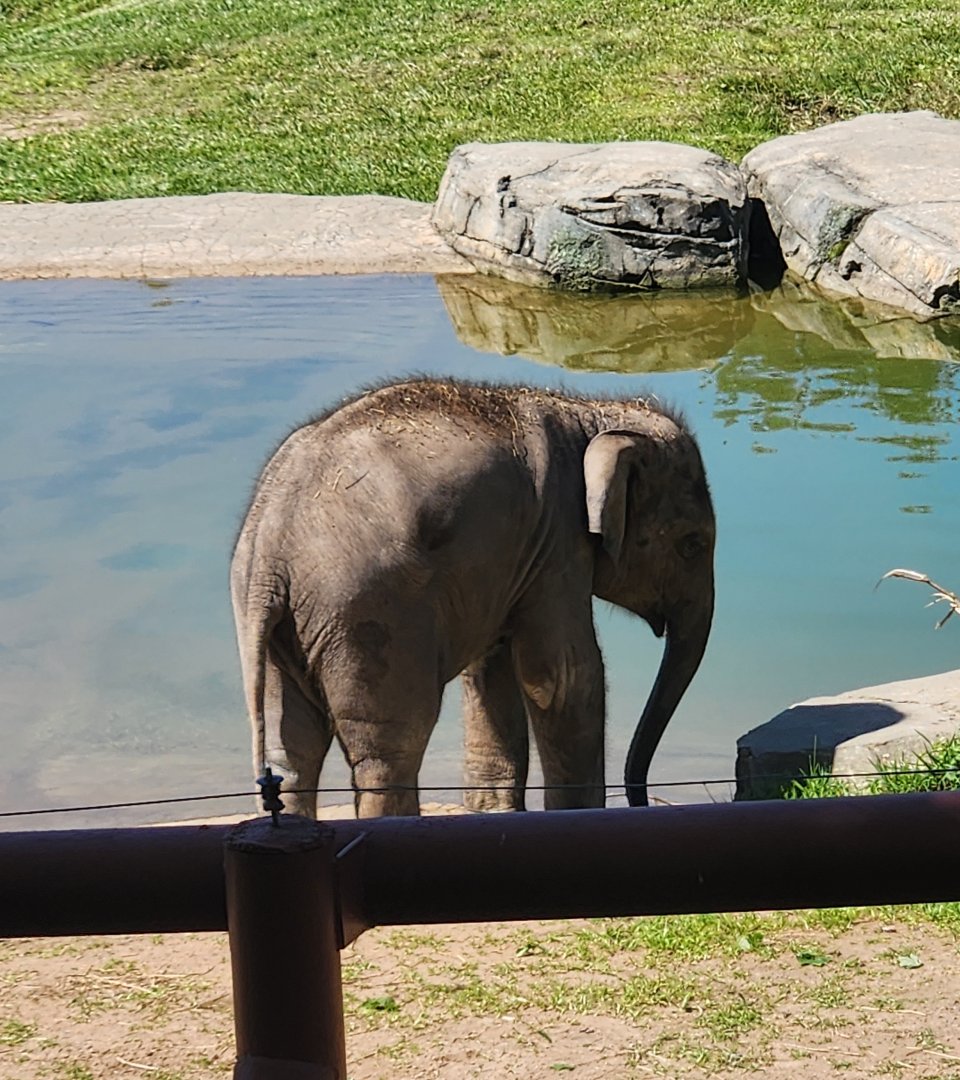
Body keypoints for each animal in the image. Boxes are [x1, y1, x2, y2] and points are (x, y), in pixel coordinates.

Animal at [230, 377, 715, 818]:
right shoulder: (558, 543)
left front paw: (494, 813)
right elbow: (563, 677)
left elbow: (490, 673)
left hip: (280, 626)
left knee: (291, 753)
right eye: (692, 545)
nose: (642, 802)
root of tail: (270, 537)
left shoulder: (509, 561)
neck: (590, 414)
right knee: (392, 746)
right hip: (368, 614)